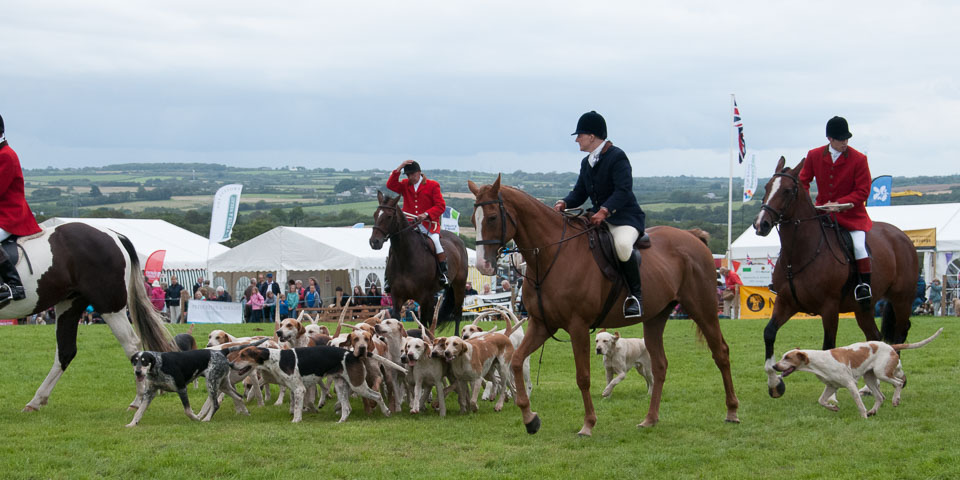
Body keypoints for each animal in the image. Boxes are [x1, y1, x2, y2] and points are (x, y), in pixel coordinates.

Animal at [0, 222, 174, 412]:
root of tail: (115, 235)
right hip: (70, 304)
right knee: (66, 351)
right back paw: (36, 401)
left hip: (109, 306)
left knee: (131, 344)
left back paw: (137, 401)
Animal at [368, 190, 468, 334]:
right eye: (375, 214)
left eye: (389, 216)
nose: (374, 242)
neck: (406, 257)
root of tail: (458, 240)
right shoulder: (397, 297)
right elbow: (396, 320)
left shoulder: (424, 297)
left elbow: (423, 323)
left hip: (458, 285)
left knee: (457, 314)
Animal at [468, 175, 740, 436]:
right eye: (473, 219)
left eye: (492, 217)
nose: (483, 265)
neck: (552, 255)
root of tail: (693, 237)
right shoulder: (542, 324)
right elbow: (516, 362)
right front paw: (530, 419)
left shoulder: (577, 326)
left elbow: (583, 377)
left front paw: (588, 424)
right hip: (656, 317)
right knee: (660, 365)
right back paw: (650, 419)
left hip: (703, 309)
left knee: (721, 353)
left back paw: (732, 411)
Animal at [752, 158, 920, 398]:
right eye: (766, 187)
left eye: (787, 191)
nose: (761, 224)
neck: (800, 254)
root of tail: (901, 236)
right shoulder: (786, 303)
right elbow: (769, 333)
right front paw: (775, 384)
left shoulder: (829, 308)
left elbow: (828, 346)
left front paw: (830, 393)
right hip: (863, 308)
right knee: (875, 336)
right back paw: (871, 385)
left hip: (902, 300)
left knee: (899, 336)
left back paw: (897, 376)